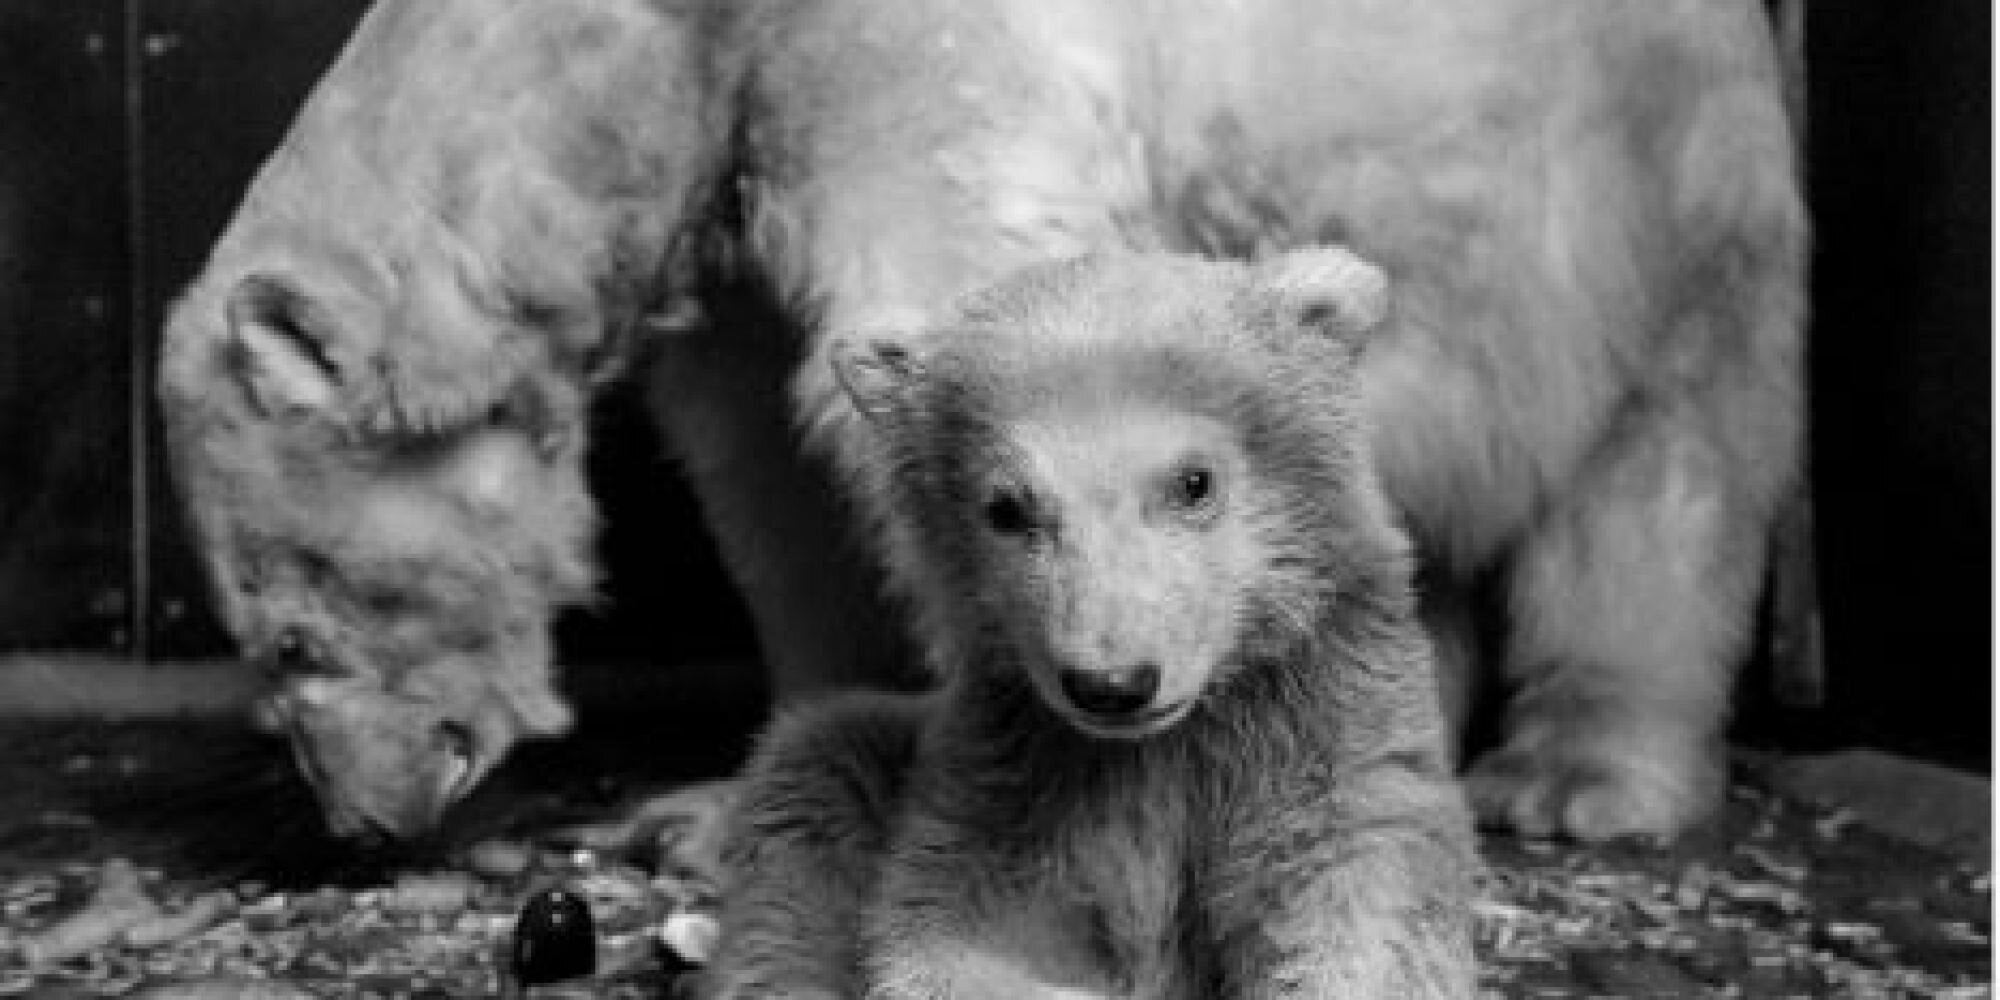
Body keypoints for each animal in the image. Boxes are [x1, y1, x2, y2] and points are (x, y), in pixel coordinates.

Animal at [158, 0, 1804, 844]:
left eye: (291, 636)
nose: (358, 822)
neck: (666, 43)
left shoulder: (908, 64)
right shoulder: (740, 181)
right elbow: (777, 468)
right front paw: (729, 795)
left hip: (1632, 191)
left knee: (1659, 483)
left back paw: (1578, 781)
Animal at [705, 246, 1479, 1000]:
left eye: (1193, 481)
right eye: (1007, 507)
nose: (1113, 683)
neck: (1159, 744)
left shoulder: (1319, 740)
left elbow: (1357, 908)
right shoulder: (1015, 790)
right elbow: (954, 943)